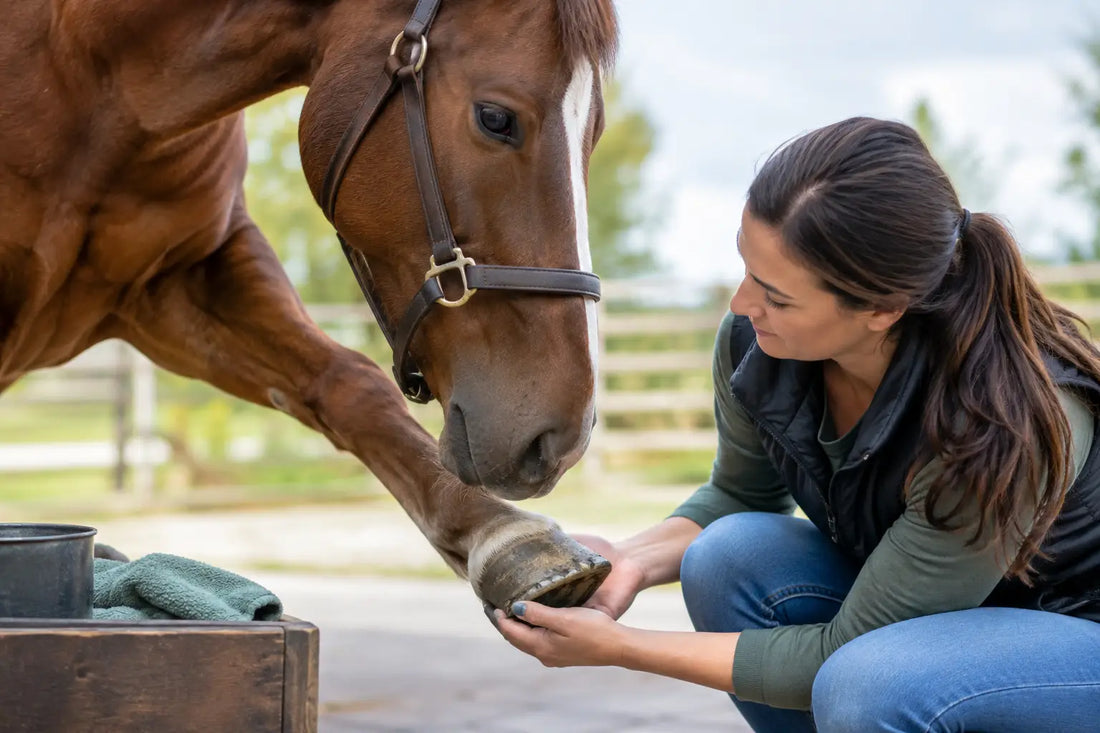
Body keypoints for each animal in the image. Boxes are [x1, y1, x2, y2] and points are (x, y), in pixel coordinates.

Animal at [1, 0, 618, 612]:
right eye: (495, 118)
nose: (562, 439)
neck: (95, 75)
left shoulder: (186, 283)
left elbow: (348, 383)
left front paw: (505, 532)